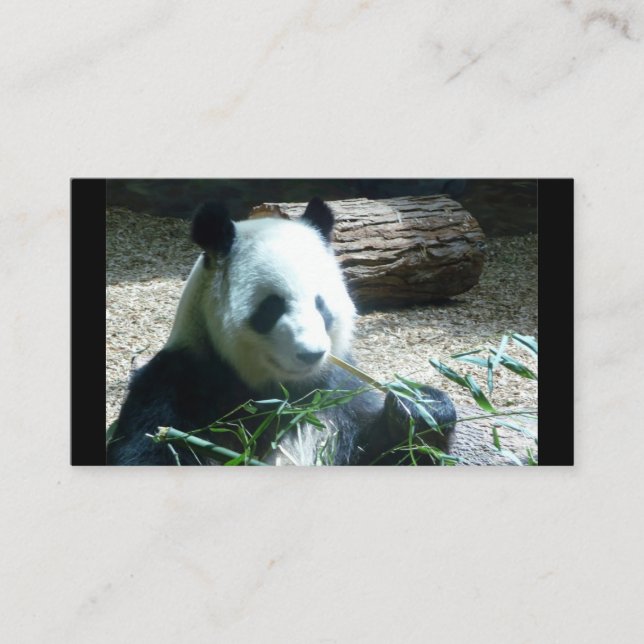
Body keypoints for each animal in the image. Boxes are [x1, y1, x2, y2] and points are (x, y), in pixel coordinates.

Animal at [107, 198, 457, 465]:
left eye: (320, 304)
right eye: (272, 307)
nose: (311, 353)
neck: (287, 392)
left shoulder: (337, 395)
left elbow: (386, 451)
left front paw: (421, 407)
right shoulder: (181, 384)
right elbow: (149, 447)